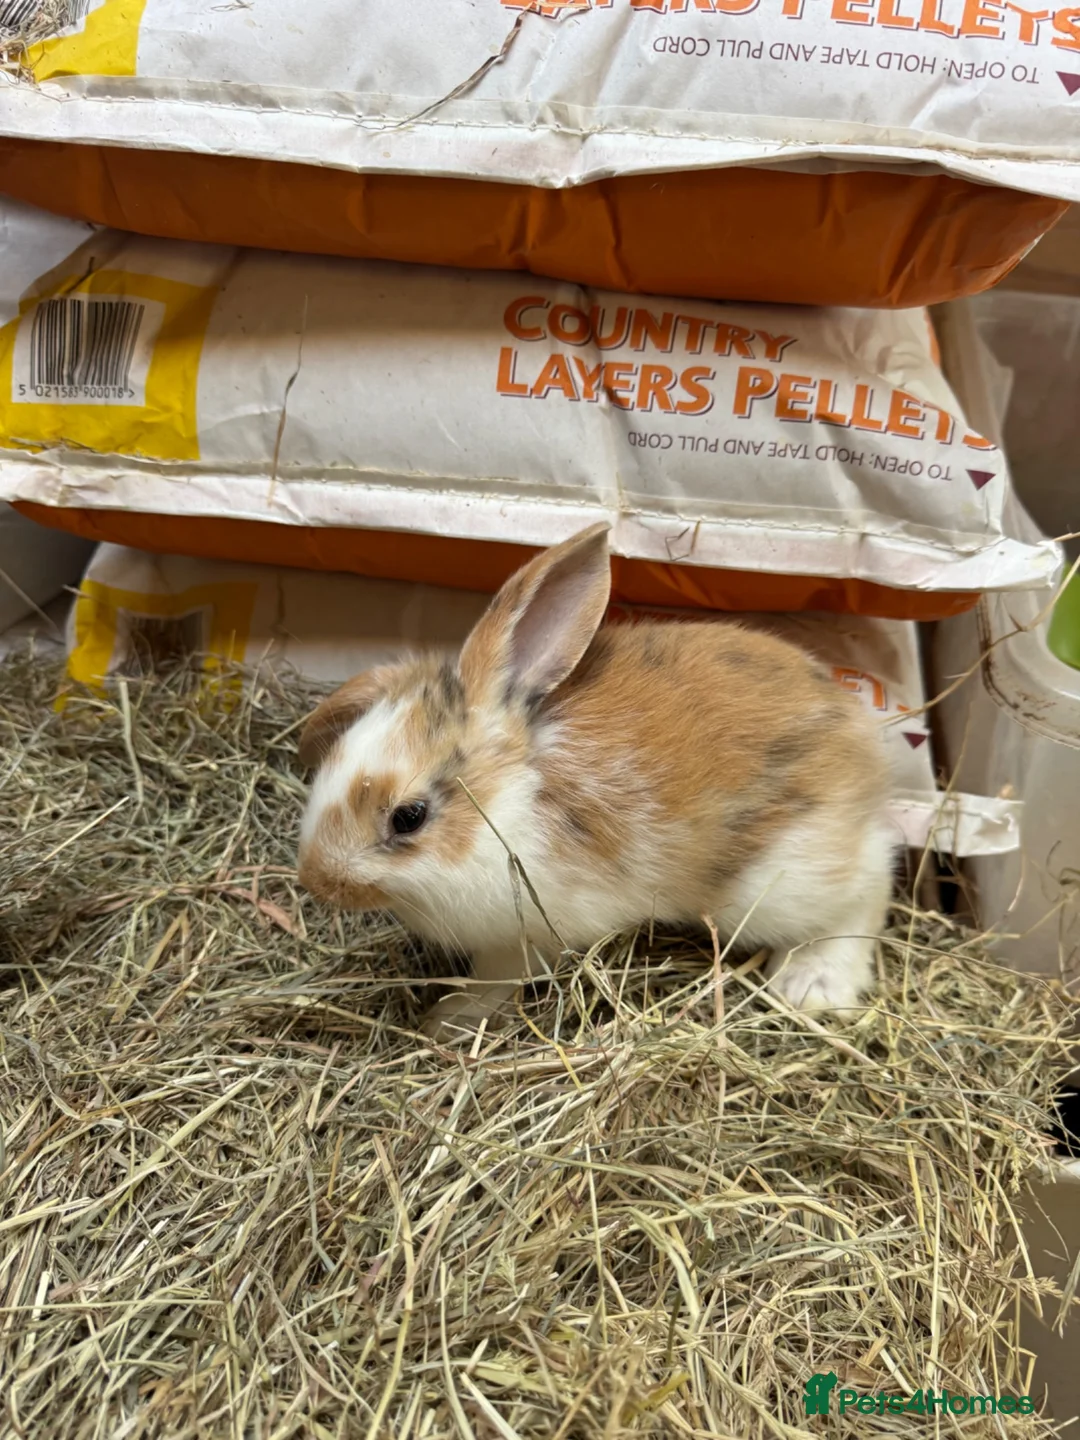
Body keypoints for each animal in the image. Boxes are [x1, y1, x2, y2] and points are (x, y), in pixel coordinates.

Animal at [297, 524, 896, 1041]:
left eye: (409, 817)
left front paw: (448, 1020)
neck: (508, 800)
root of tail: (864, 750)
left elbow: (495, 980)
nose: (316, 879)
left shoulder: (520, 937)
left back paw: (813, 986)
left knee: (868, 890)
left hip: (784, 881)